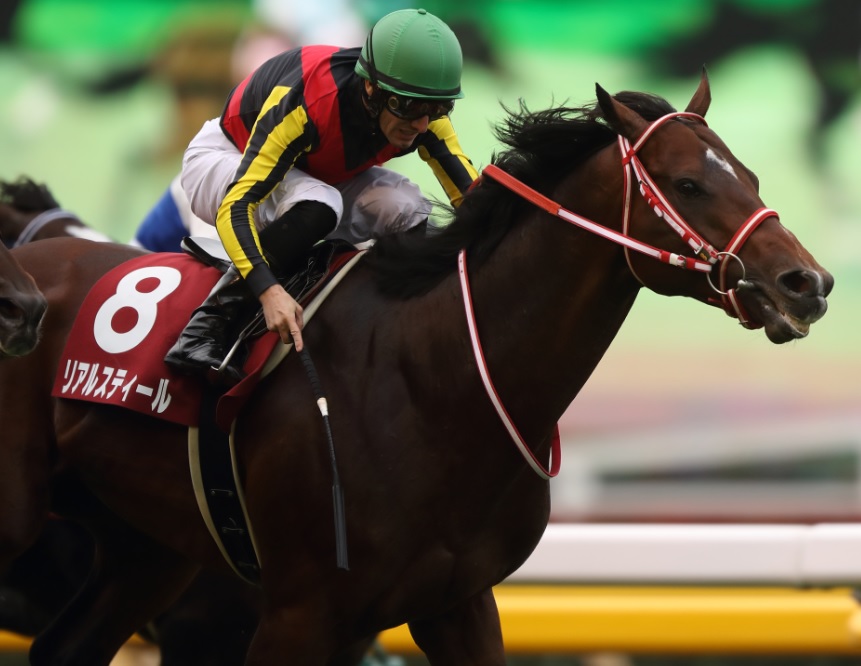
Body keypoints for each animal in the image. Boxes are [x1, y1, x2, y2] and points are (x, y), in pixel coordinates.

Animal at [0, 72, 832, 665]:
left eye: (750, 176)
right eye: (689, 184)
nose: (807, 282)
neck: (433, 381)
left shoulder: (455, 603)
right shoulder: (297, 614)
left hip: (146, 548)